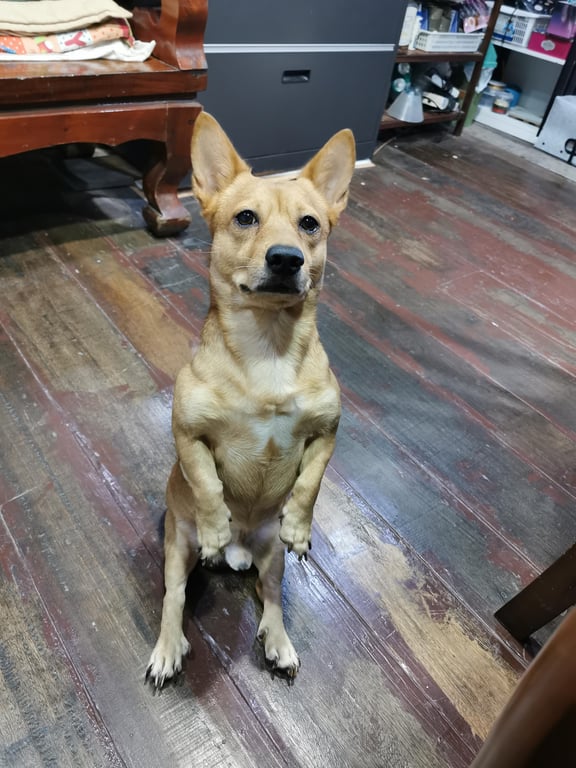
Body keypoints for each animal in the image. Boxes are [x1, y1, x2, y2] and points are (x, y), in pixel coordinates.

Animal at [146, 112, 355, 687]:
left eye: (310, 224)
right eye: (245, 218)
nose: (286, 259)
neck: (268, 344)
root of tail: (245, 551)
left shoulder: (326, 433)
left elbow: (310, 482)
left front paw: (301, 527)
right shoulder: (188, 434)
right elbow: (207, 483)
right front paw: (216, 523)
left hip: (270, 558)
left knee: (272, 597)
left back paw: (279, 641)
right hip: (176, 548)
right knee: (174, 597)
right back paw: (169, 646)